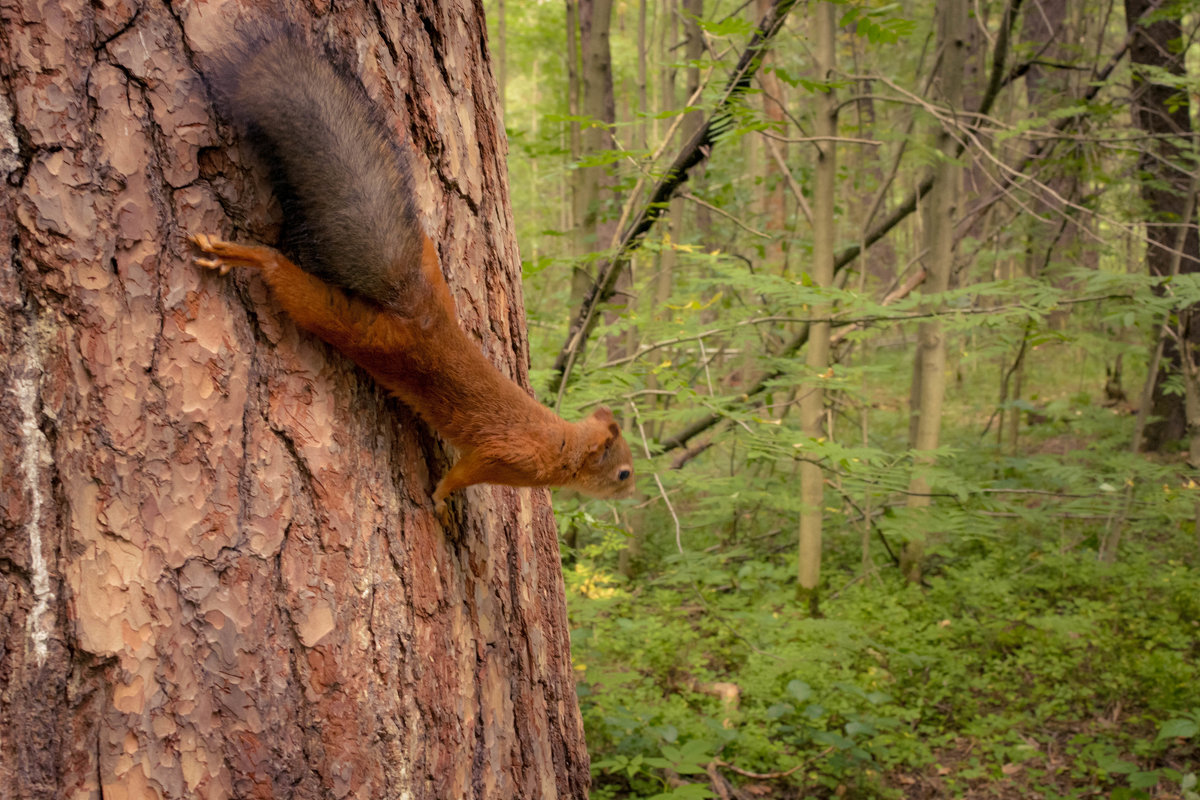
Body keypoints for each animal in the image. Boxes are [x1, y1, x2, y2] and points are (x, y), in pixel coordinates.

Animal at [189, 34, 638, 510]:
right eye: (623, 472)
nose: (633, 490)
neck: (560, 445)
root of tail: (417, 306)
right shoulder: (505, 458)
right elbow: (465, 472)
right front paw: (441, 498)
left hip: (426, 266)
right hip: (365, 332)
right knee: (293, 285)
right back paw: (243, 256)